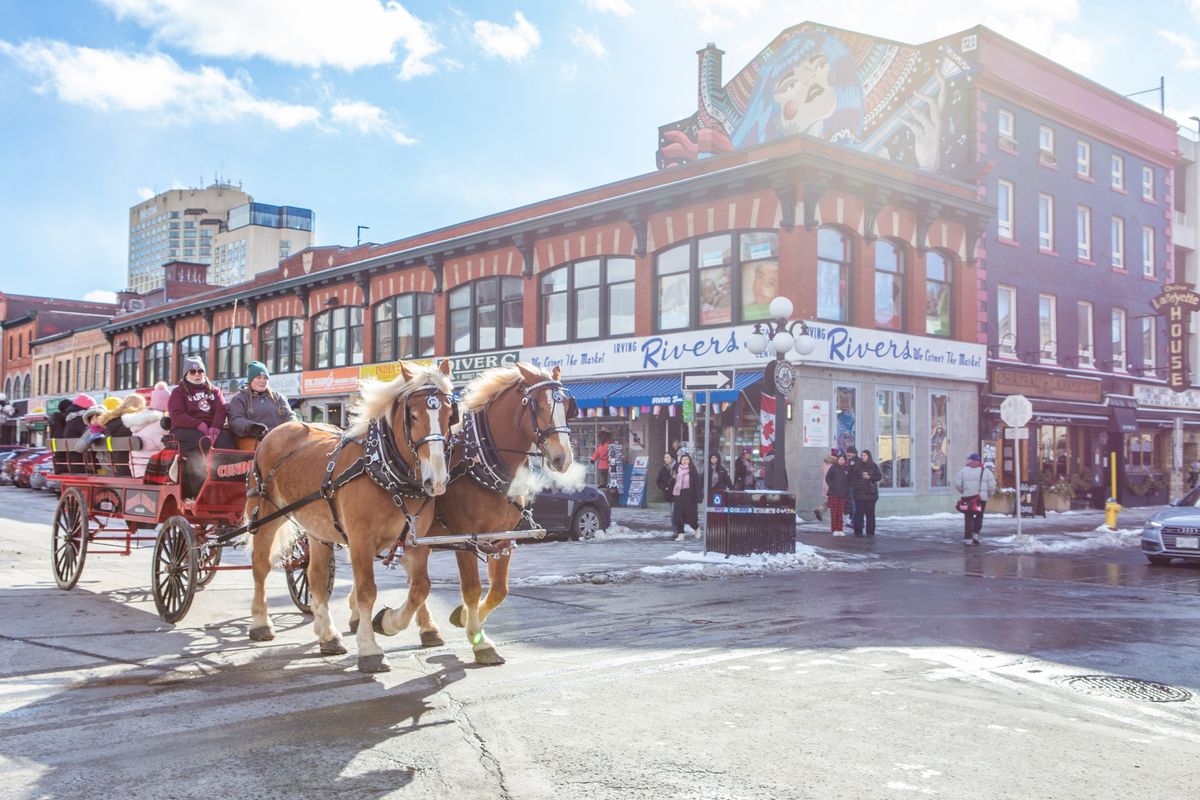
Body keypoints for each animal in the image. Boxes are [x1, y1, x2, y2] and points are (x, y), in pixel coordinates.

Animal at [243, 362, 453, 676]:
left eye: (450, 414)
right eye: (413, 415)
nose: (436, 480)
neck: (385, 470)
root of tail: (277, 431)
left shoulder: (416, 541)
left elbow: (420, 587)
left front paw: (390, 622)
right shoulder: (361, 540)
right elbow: (367, 591)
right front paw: (369, 648)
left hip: (318, 530)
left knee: (316, 577)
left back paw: (328, 635)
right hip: (266, 515)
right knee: (260, 566)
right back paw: (261, 622)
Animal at [372, 362, 578, 662]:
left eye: (567, 406)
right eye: (538, 405)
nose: (563, 457)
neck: (480, 462)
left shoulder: (503, 537)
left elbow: (499, 589)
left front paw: (463, 617)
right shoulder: (465, 538)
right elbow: (472, 587)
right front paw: (480, 642)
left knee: (414, 579)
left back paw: (426, 629)